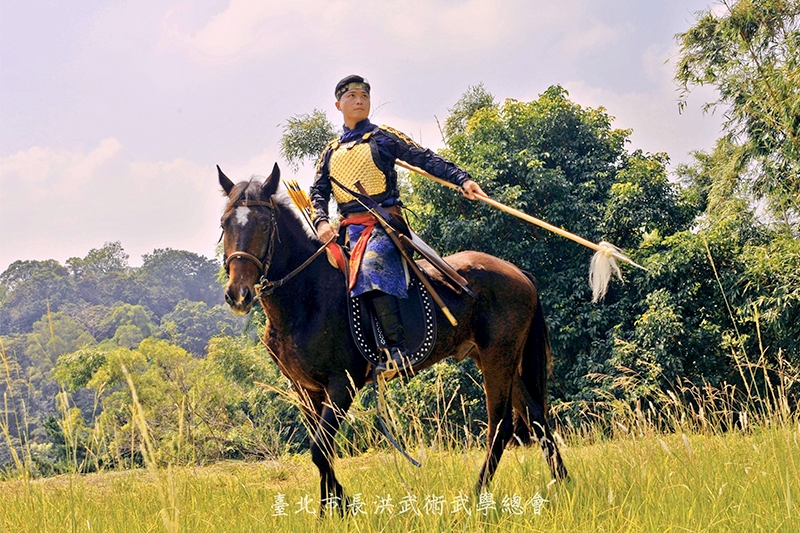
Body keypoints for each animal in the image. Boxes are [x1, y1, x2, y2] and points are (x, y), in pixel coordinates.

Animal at [217, 163, 568, 516]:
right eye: (224, 223)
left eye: (264, 224)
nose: (238, 294)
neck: (307, 294)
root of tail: (520, 274)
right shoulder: (306, 390)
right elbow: (323, 451)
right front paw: (330, 510)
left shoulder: (343, 384)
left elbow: (319, 449)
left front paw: (343, 508)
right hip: (498, 359)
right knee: (536, 418)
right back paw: (564, 485)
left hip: (498, 358)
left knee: (501, 427)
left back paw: (475, 499)